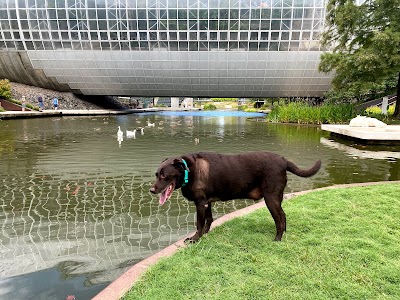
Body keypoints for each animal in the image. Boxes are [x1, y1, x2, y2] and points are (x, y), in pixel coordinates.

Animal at [150, 151, 322, 243]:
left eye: (164, 176)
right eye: (157, 174)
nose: (151, 190)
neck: (189, 171)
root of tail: (284, 160)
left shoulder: (200, 204)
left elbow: (199, 224)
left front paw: (195, 239)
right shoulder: (207, 203)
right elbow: (209, 220)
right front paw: (205, 235)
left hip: (271, 199)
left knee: (279, 218)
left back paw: (278, 238)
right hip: (277, 198)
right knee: (284, 215)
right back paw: (284, 234)